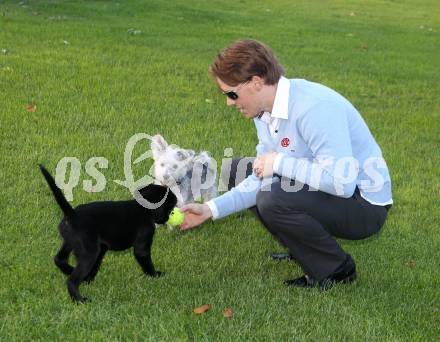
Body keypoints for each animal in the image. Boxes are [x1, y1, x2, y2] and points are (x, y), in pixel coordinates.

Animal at [39, 165, 177, 302]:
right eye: (170, 208)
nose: (167, 218)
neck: (143, 207)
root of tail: (73, 215)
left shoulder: (102, 247)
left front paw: (89, 278)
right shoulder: (143, 241)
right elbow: (145, 260)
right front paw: (155, 275)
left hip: (70, 243)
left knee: (59, 259)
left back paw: (74, 272)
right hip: (89, 253)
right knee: (72, 280)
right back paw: (80, 299)